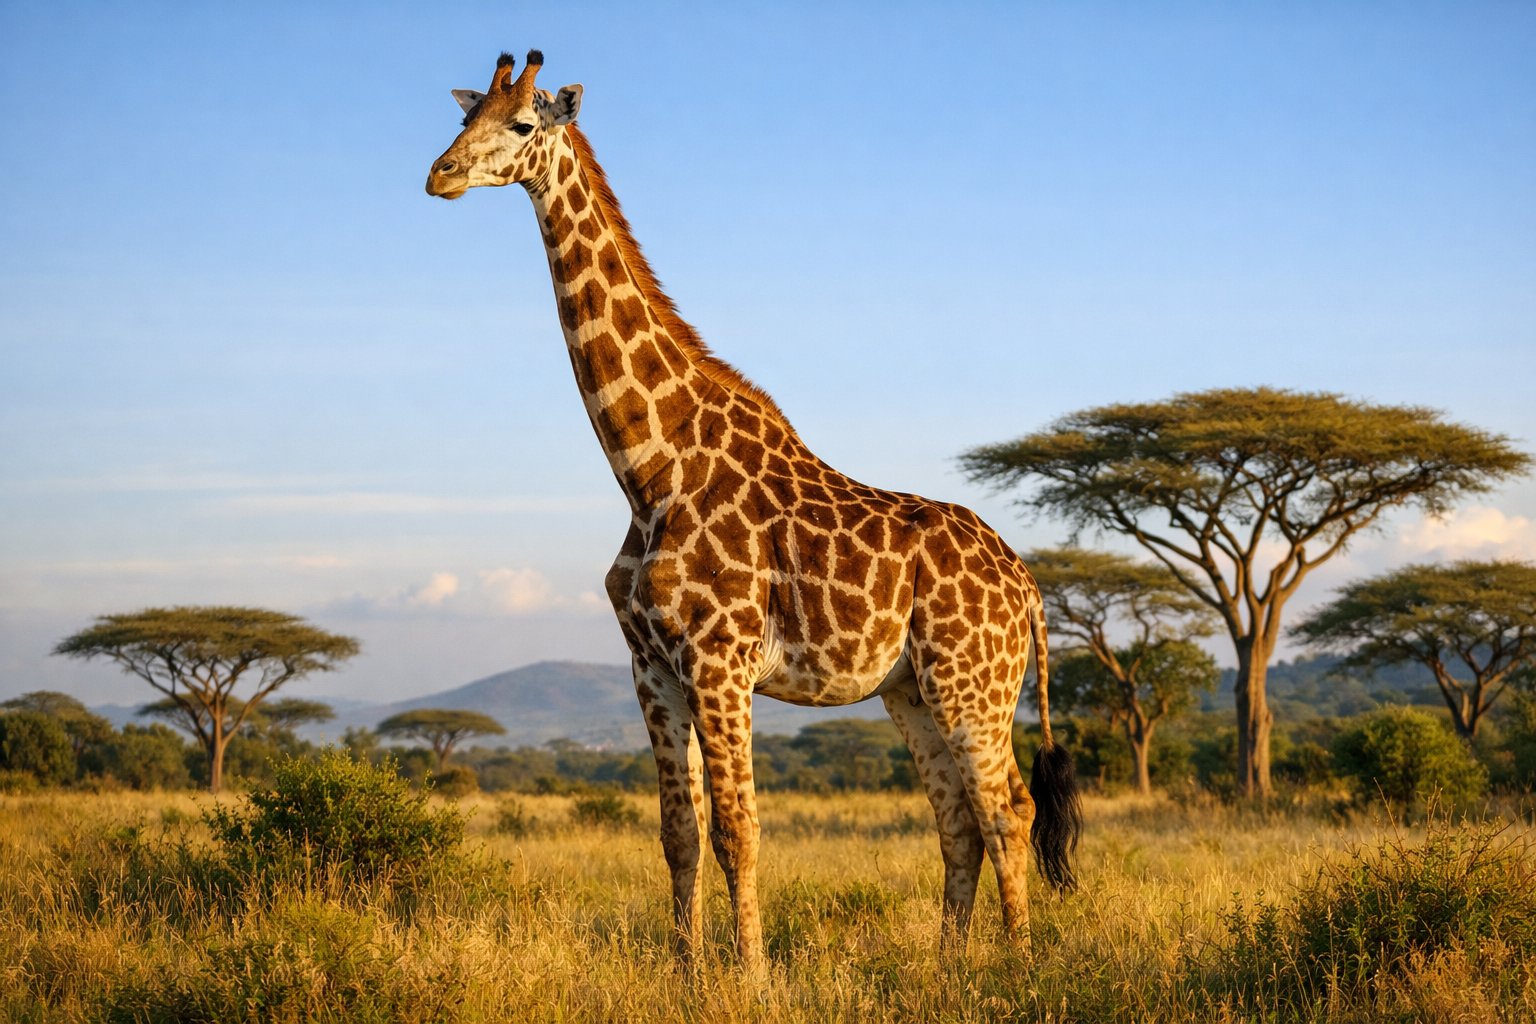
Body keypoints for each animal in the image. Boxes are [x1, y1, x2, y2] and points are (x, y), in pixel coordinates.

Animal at [425, 51, 1081, 969]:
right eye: (462, 118)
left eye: (521, 123)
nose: (440, 175)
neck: (649, 467)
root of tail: (1027, 587)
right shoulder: (651, 666)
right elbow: (678, 834)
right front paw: (688, 971)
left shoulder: (719, 659)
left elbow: (738, 831)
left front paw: (751, 976)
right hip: (911, 690)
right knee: (956, 819)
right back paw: (952, 967)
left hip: (972, 681)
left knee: (1007, 810)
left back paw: (1019, 967)